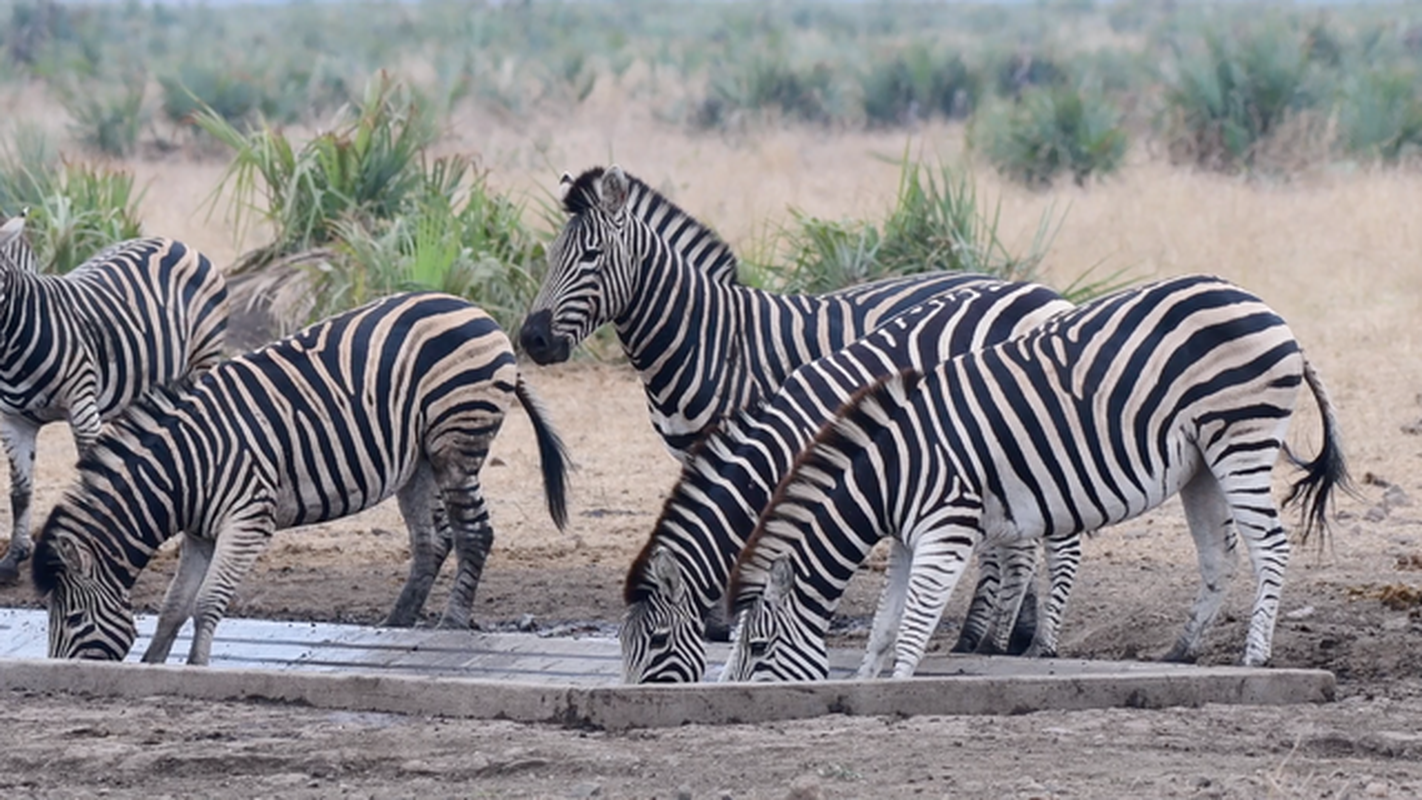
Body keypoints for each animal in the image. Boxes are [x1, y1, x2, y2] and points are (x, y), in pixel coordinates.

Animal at [0, 215, 230, 585]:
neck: (14, 349)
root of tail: (175, 242)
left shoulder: (82, 405)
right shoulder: (13, 421)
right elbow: (20, 492)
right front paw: (12, 559)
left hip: (203, 357)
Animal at [30, 292, 568, 665]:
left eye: (71, 618)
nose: (58, 674)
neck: (182, 472)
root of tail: (477, 313)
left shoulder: (249, 519)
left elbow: (207, 603)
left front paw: (196, 667)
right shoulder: (200, 533)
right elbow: (172, 607)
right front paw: (153, 664)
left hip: (455, 442)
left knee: (474, 532)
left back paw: (448, 624)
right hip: (416, 460)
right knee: (432, 539)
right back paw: (396, 624)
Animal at [728, 275, 1348, 682]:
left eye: (758, 649)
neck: (890, 470)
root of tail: (1266, 308)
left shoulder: (946, 528)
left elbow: (913, 624)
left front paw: (895, 687)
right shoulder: (906, 538)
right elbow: (884, 624)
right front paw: (865, 685)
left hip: (1242, 438)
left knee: (1271, 546)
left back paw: (1255, 655)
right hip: (1202, 461)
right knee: (1220, 556)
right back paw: (1180, 652)